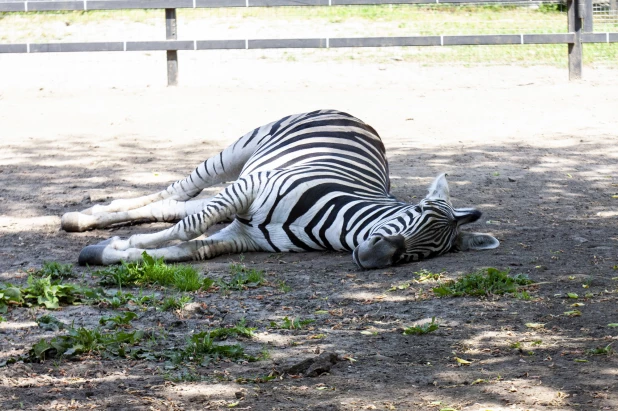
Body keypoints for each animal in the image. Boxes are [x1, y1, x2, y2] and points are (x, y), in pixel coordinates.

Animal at [62, 109, 496, 270]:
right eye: (415, 213)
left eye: (424, 254)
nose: (373, 257)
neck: (332, 225)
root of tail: (359, 119)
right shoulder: (249, 188)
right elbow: (188, 229)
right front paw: (125, 242)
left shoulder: (242, 237)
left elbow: (184, 249)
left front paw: (110, 251)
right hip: (239, 154)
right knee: (179, 192)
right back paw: (86, 216)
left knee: (175, 206)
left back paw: (85, 220)